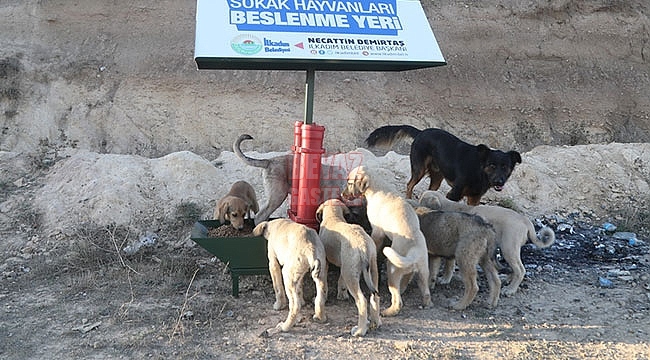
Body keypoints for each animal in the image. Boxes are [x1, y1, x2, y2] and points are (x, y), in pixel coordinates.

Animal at [314, 198, 380, 336]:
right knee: (375, 296)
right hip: (371, 269)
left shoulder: (326, 262)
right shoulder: (344, 264)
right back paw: (376, 322)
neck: (334, 217)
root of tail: (363, 244)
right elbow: (341, 280)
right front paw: (342, 294)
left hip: (351, 274)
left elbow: (324, 284)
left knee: (362, 301)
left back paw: (360, 330)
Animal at [340, 165, 430, 316]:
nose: (341, 194)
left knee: (397, 300)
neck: (377, 186)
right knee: (425, 292)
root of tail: (414, 252)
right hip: (423, 272)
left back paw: (388, 311)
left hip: (392, 270)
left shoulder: (377, 231)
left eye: (349, 182)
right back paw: (423, 302)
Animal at [420, 190, 552, 296]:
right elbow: (450, 264)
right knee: (515, 268)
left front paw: (445, 279)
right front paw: (446, 278)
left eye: (421, 201)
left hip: (508, 247)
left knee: (520, 270)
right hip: (509, 249)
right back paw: (507, 279)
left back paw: (510, 290)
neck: (448, 205)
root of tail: (525, 220)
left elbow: (449, 264)